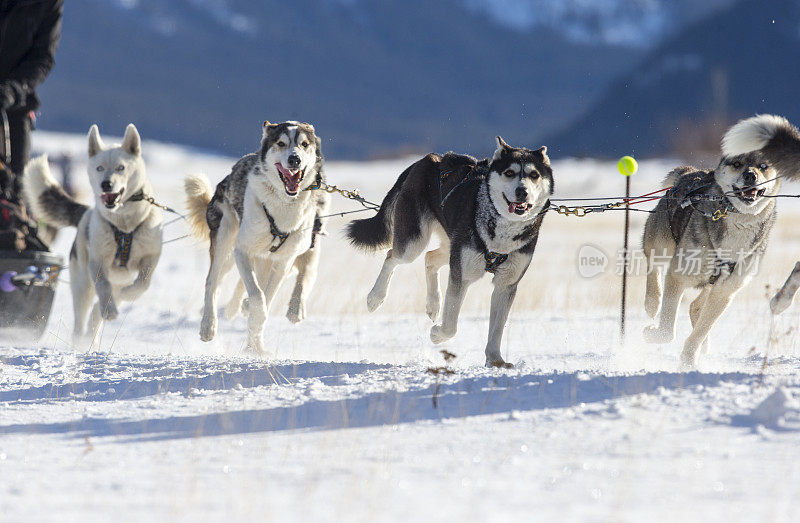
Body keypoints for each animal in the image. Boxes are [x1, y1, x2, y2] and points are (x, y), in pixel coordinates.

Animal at [22, 125, 162, 342]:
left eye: (121, 167)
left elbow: (142, 283)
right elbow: (103, 286)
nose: (106, 184)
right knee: (84, 312)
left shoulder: (151, 257)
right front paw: (110, 309)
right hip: (82, 283)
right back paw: (81, 337)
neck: (125, 226)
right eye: (99, 168)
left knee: (100, 309)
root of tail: (85, 213)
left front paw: (129, 293)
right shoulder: (98, 262)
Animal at [184, 122, 328, 352]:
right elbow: (258, 297)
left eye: (304, 144)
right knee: (212, 283)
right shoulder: (242, 252)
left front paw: (255, 345)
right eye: (281, 143)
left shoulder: (283, 262)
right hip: (225, 242)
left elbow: (267, 298)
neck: (283, 207)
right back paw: (208, 326)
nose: (294, 159)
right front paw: (252, 317)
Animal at [346, 139, 552, 368]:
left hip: (451, 247)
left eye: (534, 175)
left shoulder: (506, 284)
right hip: (415, 244)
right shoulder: (461, 275)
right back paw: (376, 297)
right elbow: (451, 325)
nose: (522, 191)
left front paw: (495, 360)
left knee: (430, 258)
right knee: (393, 255)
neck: (502, 230)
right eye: (509, 172)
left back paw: (433, 304)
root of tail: (428, 159)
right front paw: (437, 334)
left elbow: (497, 328)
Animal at [644, 114, 800, 368]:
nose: (751, 175)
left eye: (763, 166)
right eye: (737, 164)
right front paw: (655, 334)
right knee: (653, 265)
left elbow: (701, 330)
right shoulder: (678, 274)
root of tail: (691, 172)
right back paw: (652, 301)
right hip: (661, 241)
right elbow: (667, 329)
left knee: (696, 307)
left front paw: (689, 360)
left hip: (710, 283)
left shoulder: (725, 292)